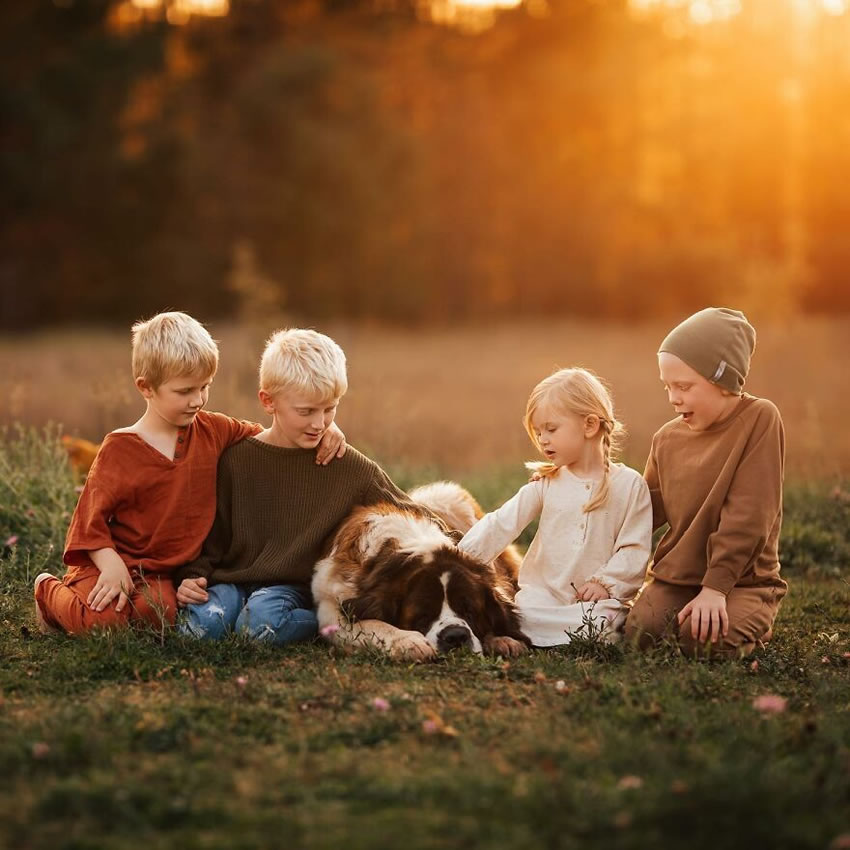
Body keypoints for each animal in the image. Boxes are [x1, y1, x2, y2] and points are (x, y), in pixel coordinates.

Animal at [310, 480, 524, 660]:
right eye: (423, 615)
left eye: (470, 611)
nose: (456, 636)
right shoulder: (330, 603)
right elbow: (368, 623)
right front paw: (407, 640)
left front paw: (501, 639)